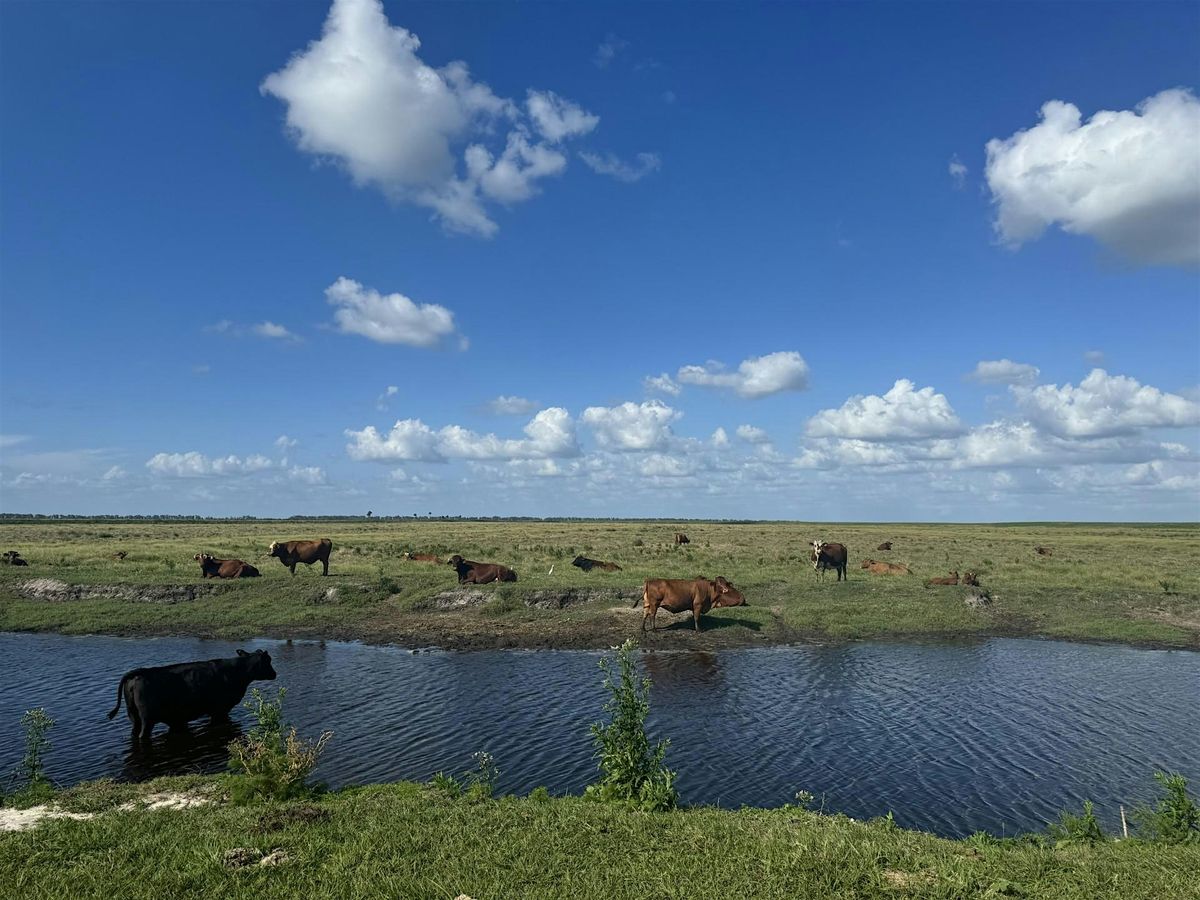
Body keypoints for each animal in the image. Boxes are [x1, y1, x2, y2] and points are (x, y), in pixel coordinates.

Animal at [107, 648, 276, 739]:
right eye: (268, 661)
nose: (274, 674)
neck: (237, 671)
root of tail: (140, 672)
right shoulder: (220, 710)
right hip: (147, 719)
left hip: (133, 715)